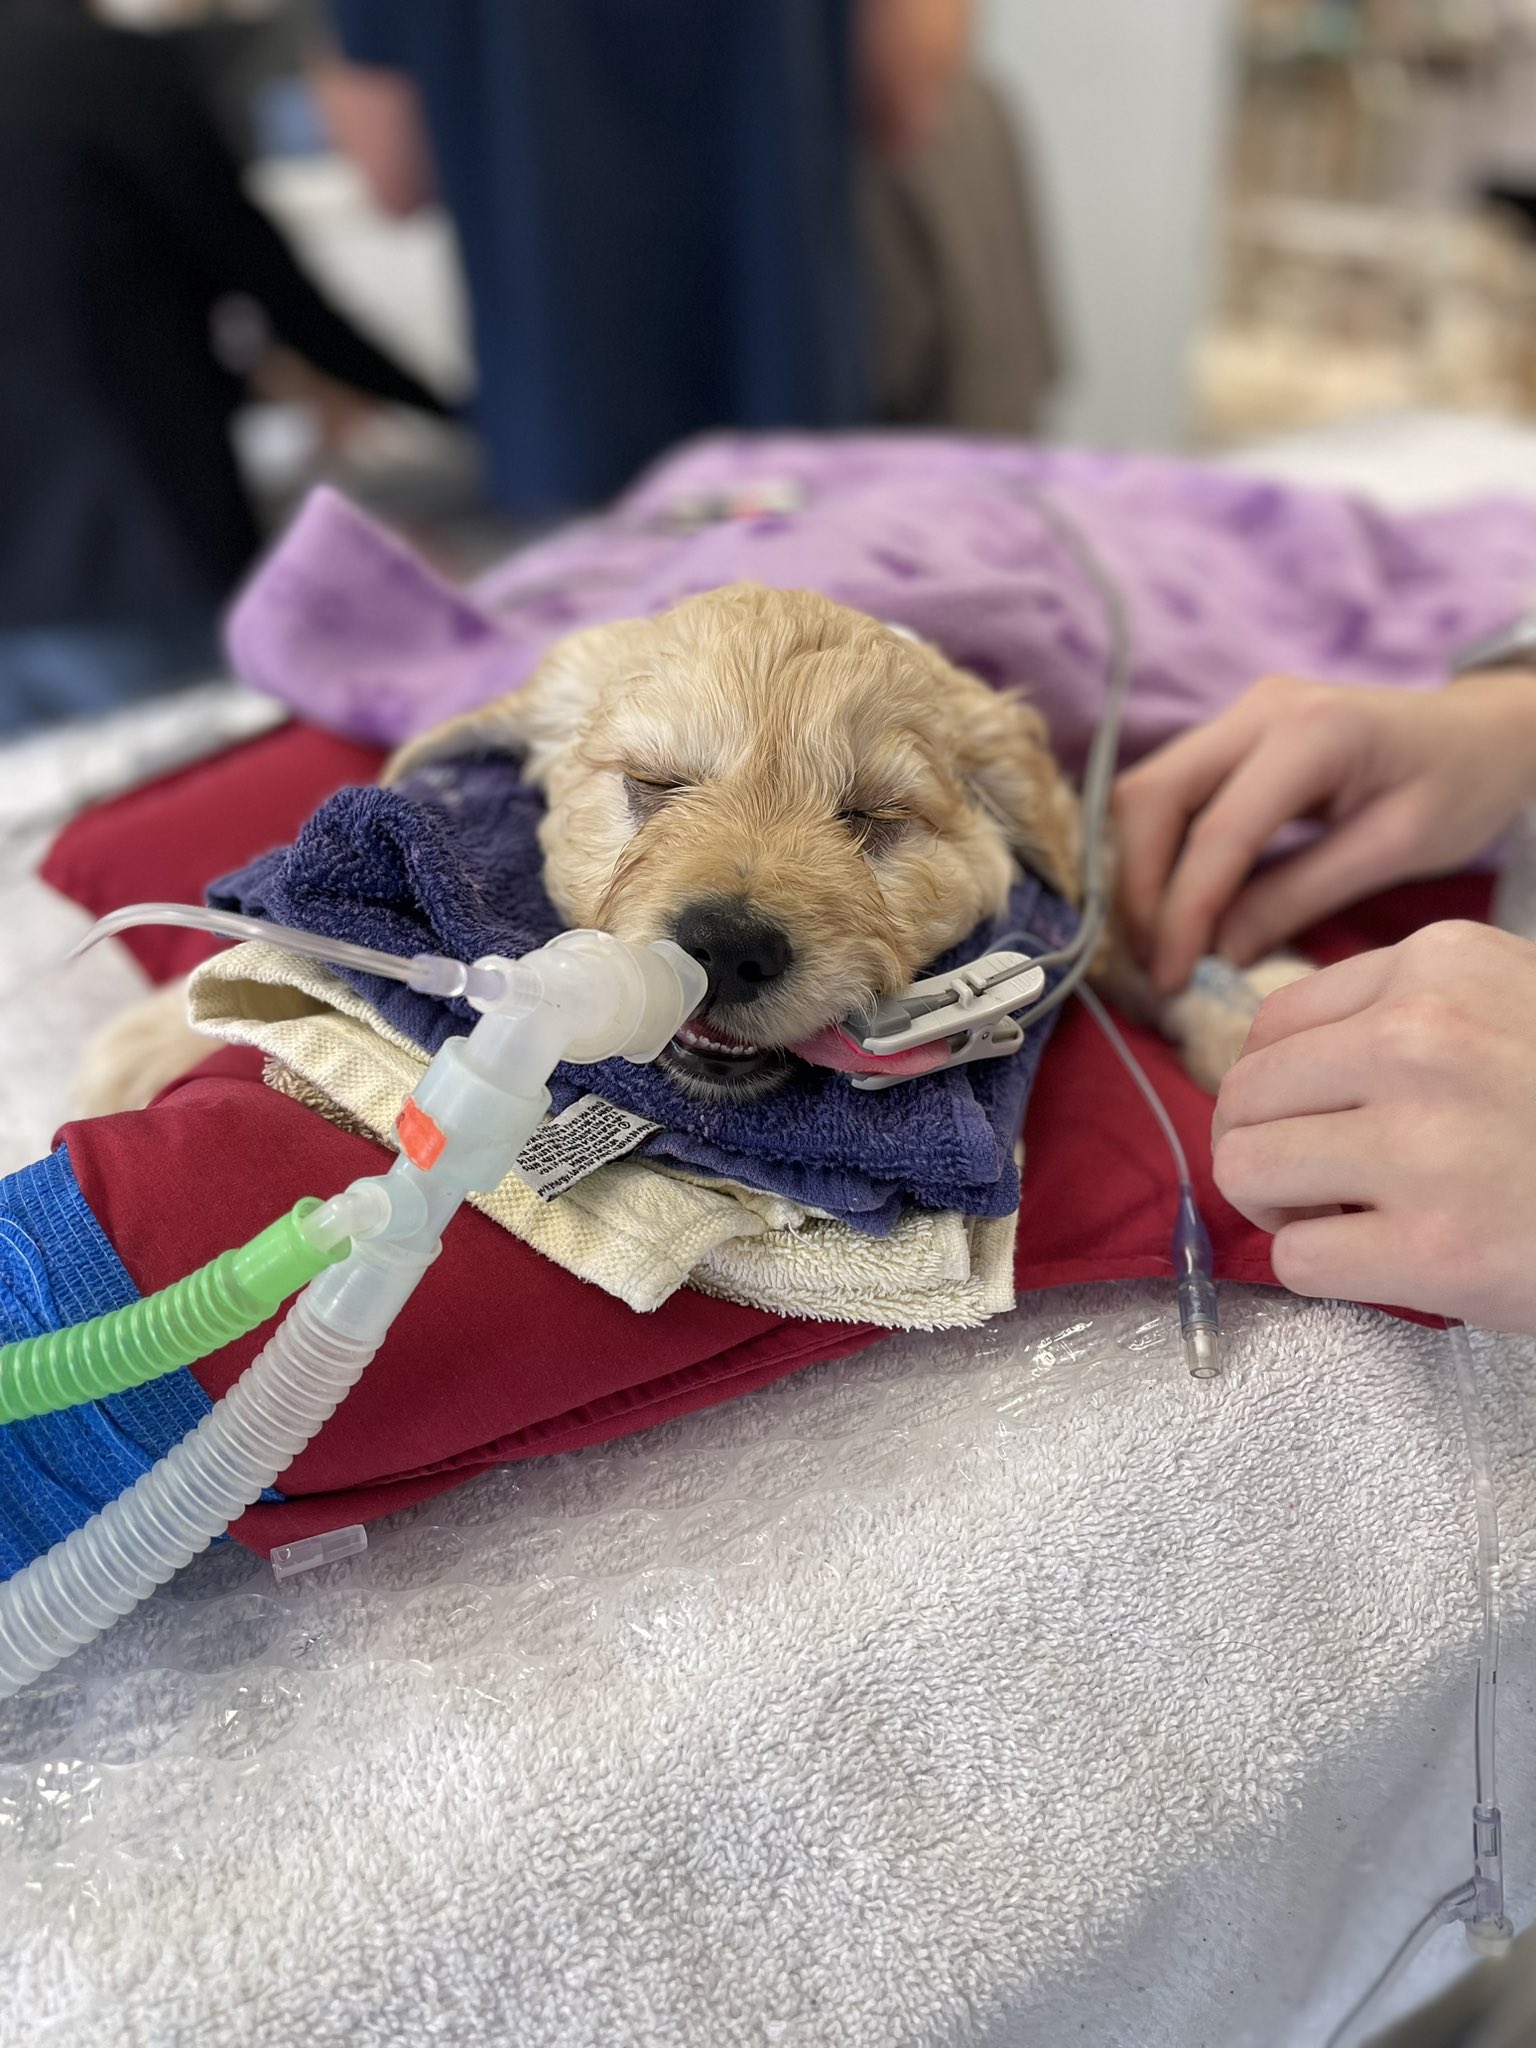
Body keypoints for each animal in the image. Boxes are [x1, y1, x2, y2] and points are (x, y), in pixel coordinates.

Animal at [72, 577, 1302, 1122]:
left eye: (871, 816)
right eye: (655, 787)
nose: (728, 948)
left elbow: (1134, 921)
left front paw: (1255, 1007)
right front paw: (144, 1038)